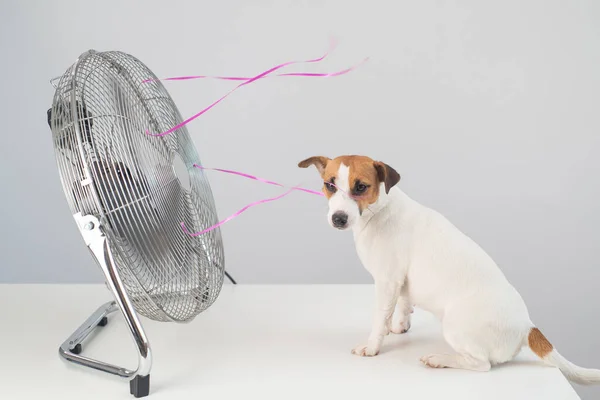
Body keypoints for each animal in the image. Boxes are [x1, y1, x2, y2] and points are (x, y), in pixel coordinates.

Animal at [298, 154, 600, 384]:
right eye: (329, 185)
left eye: (361, 187)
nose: (338, 218)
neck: (380, 209)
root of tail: (528, 327)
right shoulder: (401, 282)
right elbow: (403, 304)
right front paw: (399, 326)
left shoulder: (387, 281)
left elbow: (378, 318)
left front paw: (372, 346)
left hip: (455, 326)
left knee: (481, 364)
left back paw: (440, 359)